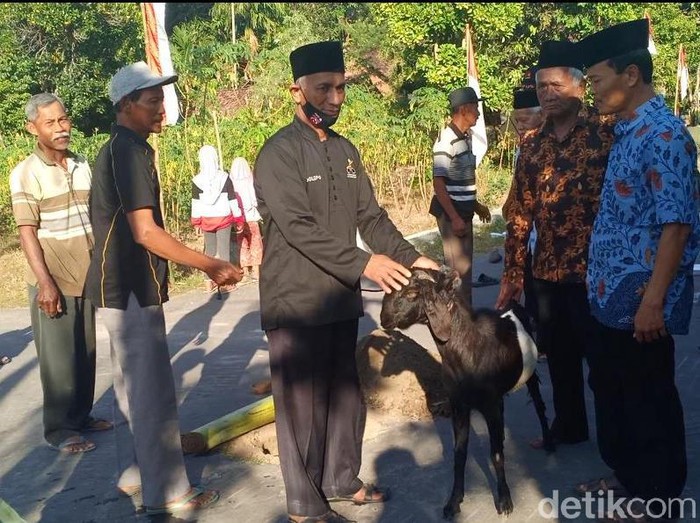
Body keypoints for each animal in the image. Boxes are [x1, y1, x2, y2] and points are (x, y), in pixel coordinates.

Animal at [380, 270, 556, 520]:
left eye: (412, 292)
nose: (383, 318)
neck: (467, 349)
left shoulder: (489, 404)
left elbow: (496, 454)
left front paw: (505, 501)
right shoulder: (459, 405)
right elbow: (459, 453)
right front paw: (453, 502)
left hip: (529, 376)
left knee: (539, 406)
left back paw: (549, 442)